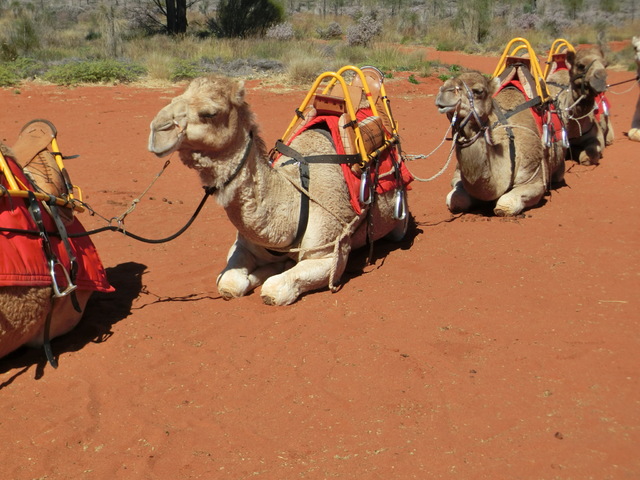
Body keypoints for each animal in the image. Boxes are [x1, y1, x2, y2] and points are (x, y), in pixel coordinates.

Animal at [148, 75, 412, 308]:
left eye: (210, 113)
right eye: (176, 97)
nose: (157, 130)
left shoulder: (329, 253)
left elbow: (273, 290)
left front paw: (274, 274)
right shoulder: (245, 244)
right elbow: (229, 283)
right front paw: (264, 271)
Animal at [436, 70, 564, 217]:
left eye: (478, 91)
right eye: (444, 84)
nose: (444, 90)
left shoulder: (534, 178)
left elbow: (504, 206)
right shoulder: (458, 176)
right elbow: (455, 200)